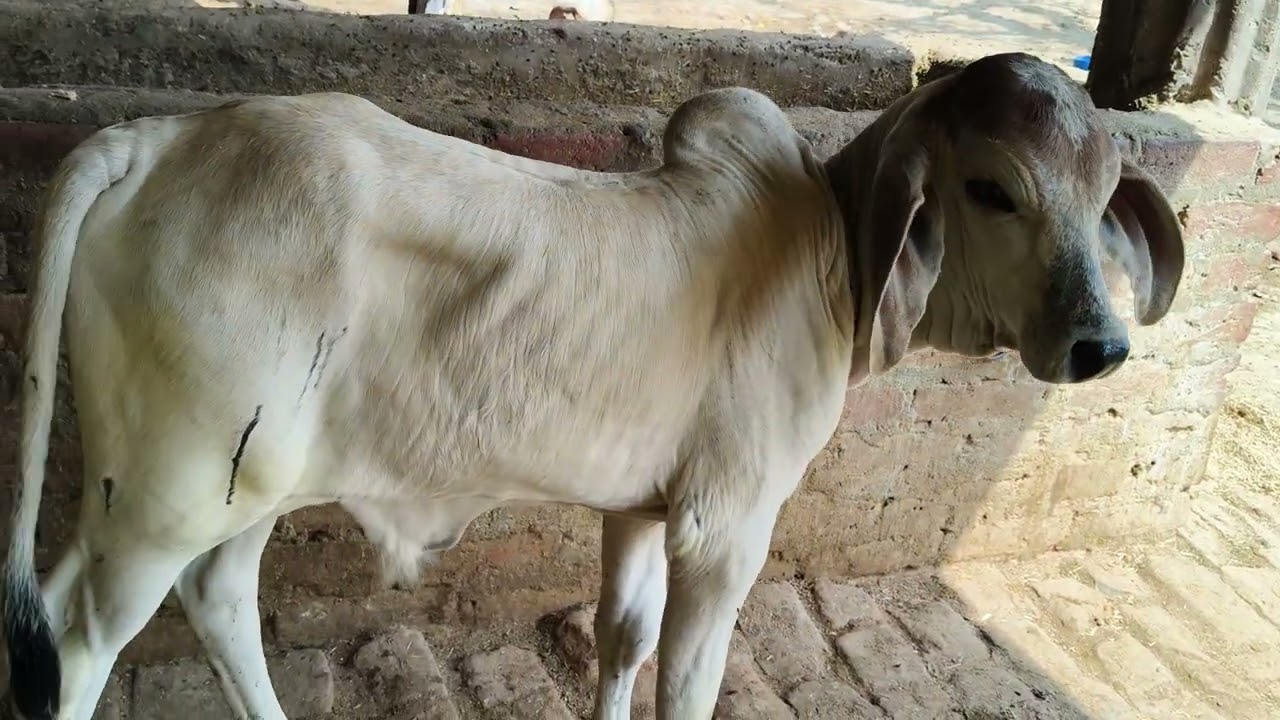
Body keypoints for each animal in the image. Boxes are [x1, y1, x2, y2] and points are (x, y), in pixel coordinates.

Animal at [3, 52, 1182, 720]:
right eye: (991, 189)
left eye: (1100, 196)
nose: (1098, 345)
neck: (830, 260)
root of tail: (155, 137)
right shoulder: (725, 527)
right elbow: (686, 684)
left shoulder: (639, 509)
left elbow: (621, 641)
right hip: (171, 492)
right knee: (76, 645)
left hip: (220, 488)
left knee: (191, 602)